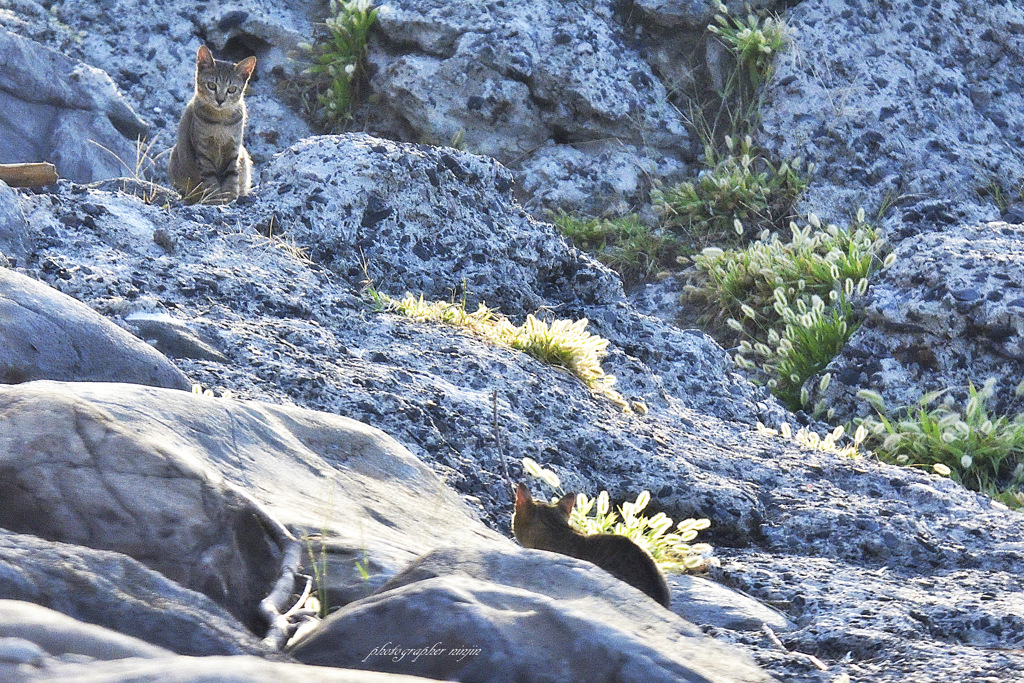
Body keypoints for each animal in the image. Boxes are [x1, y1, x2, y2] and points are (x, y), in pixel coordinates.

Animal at [167, 45, 256, 204]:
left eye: (231, 89)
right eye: (211, 85)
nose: (220, 100)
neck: (221, 122)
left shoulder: (233, 148)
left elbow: (231, 175)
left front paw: (229, 195)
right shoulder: (203, 150)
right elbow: (210, 179)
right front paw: (215, 198)